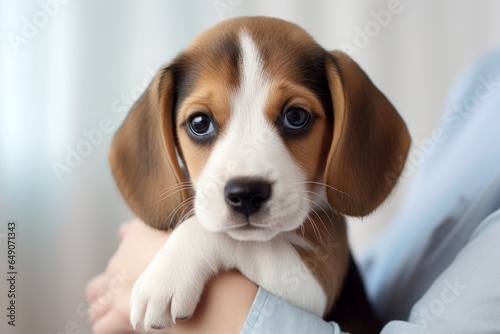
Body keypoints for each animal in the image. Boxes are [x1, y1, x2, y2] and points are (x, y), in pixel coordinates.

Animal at [109, 16, 410, 334]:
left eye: (296, 117)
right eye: (200, 123)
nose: (245, 194)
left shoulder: (312, 285)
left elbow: (224, 236)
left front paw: (167, 275)